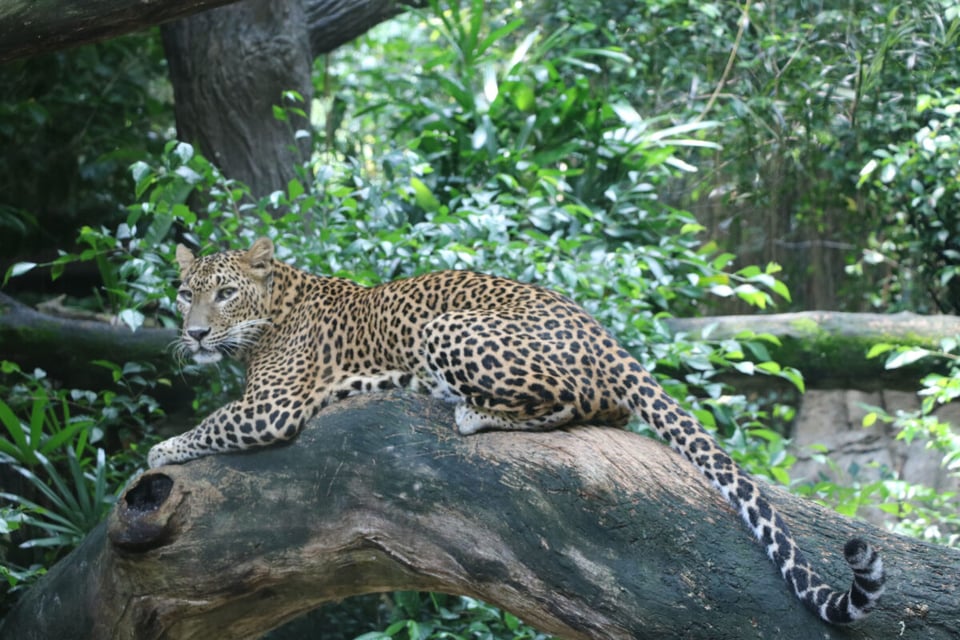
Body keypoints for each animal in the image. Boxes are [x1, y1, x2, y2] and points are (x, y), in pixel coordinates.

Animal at [148, 236, 885, 625]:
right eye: (186, 293)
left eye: (225, 294)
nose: (195, 333)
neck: (270, 311)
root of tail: (609, 339)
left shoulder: (270, 405)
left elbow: (209, 423)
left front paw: (160, 449)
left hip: (447, 328)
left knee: (563, 403)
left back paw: (471, 410)